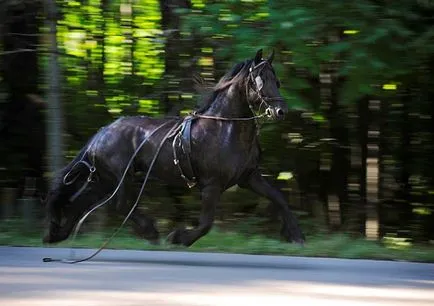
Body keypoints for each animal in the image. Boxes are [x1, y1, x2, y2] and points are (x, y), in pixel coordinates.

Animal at [42, 49, 304, 246]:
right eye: (259, 80)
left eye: (277, 80)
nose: (280, 111)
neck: (225, 129)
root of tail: (102, 133)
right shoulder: (212, 185)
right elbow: (206, 224)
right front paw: (179, 237)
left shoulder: (248, 177)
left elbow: (279, 198)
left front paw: (295, 235)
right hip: (120, 178)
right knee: (119, 204)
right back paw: (150, 231)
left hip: (104, 179)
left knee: (80, 201)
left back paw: (57, 234)